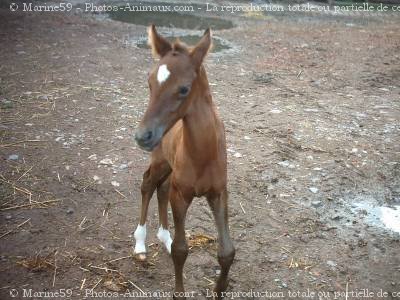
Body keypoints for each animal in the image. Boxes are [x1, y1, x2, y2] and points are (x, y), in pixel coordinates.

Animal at [134, 25, 234, 298]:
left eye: (183, 89)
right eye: (149, 83)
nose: (143, 136)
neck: (203, 153)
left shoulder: (218, 193)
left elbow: (227, 252)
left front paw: (220, 289)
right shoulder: (181, 196)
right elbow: (181, 251)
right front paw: (179, 291)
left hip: (169, 167)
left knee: (162, 188)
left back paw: (164, 237)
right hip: (160, 161)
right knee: (148, 184)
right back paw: (140, 244)